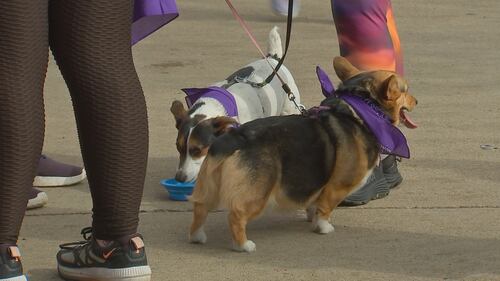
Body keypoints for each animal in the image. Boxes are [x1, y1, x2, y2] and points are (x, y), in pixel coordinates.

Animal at [188, 55, 418, 250]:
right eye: (405, 91)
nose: (417, 101)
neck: (364, 109)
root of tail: (234, 137)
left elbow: (314, 203)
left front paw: (311, 217)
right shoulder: (337, 186)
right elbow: (325, 208)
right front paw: (323, 228)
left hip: (209, 187)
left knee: (200, 207)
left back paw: (197, 237)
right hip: (257, 194)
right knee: (236, 215)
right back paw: (244, 245)